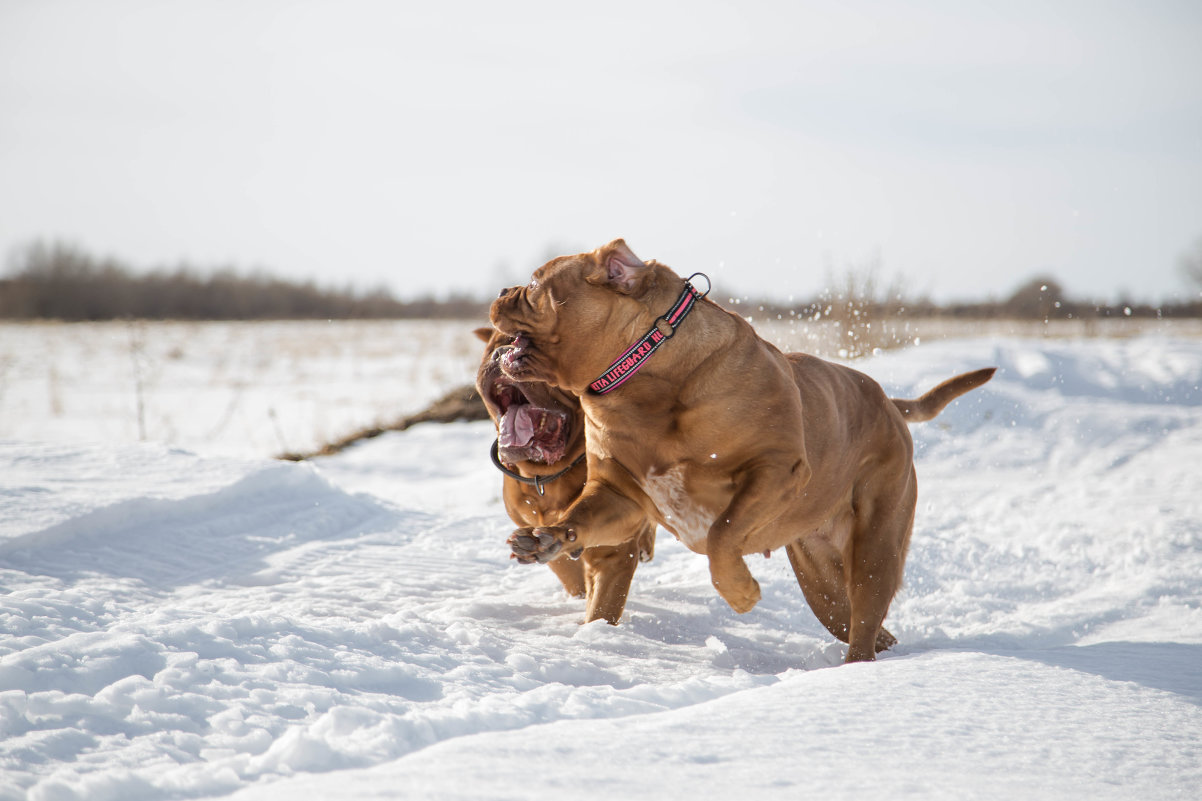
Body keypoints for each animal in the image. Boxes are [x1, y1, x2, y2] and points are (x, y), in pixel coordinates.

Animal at [471, 327, 658, 625]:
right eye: (492, 349)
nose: (502, 354)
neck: (546, 476)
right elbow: (568, 572)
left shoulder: (613, 555)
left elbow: (601, 608)